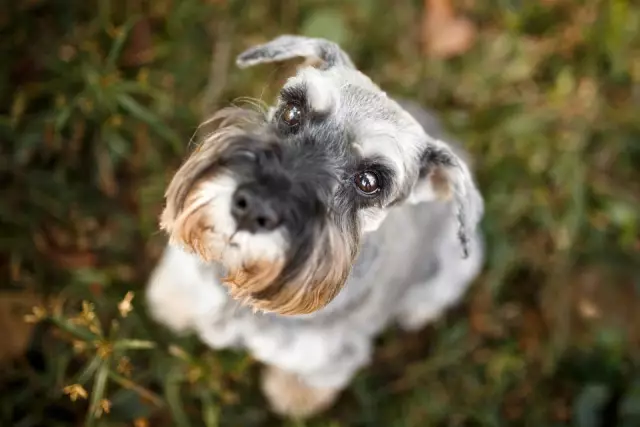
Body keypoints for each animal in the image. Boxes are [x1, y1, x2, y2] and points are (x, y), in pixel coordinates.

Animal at [146, 35, 484, 420]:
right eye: (292, 111)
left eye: (369, 181)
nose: (254, 208)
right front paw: (173, 300)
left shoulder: (328, 357)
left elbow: (309, 377)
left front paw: (295, 394)